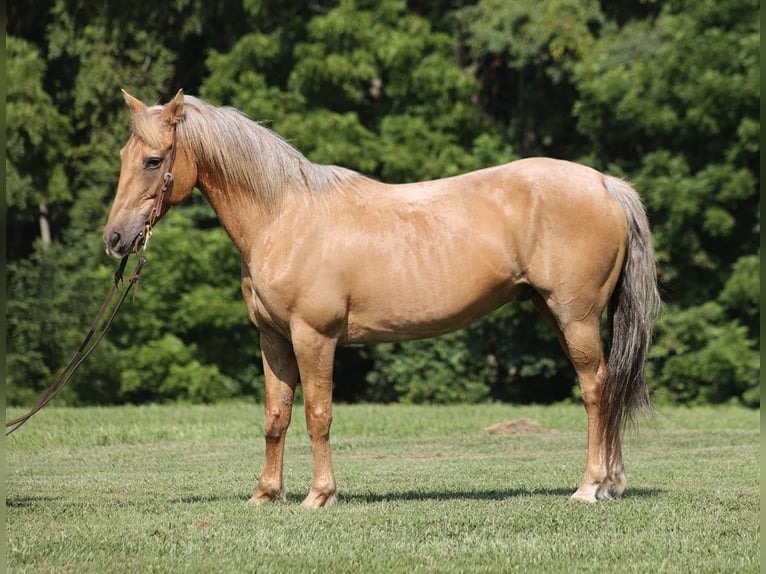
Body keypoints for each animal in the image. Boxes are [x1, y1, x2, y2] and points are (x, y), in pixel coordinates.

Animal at [105, 90, 664, 508]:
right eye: (124, 158)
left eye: (153, 161)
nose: (115, 239)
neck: (285, 217)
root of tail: (605, 184)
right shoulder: (274, 339)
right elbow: (275, 416)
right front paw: (265, 495)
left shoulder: (314, 338)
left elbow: (318, 414)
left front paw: (318, 496)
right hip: (556, 313)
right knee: (608, 386)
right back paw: (611, 483)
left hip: (576, 317)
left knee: (596, 389)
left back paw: (590, 486)